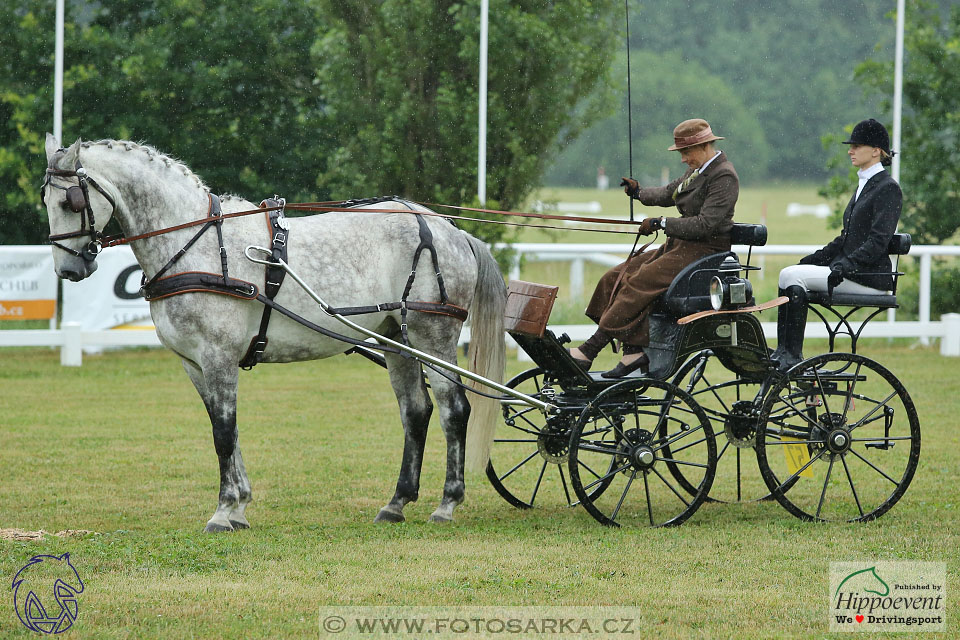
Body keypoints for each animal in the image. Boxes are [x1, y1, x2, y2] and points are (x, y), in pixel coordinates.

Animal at [41, 135, 506, 528]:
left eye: (71, 199)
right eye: (45, 198)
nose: (69, 269)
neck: (197, 244)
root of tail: (448, 229)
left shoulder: (218, 356)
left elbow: (223, 432)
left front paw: (223, 511)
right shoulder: (195, 363)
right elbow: (225, 429)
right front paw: (240, 506)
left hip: (433, 334)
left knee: (453, 409)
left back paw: (447, 503)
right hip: (398, 338)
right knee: (415, 412)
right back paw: (396, 503)